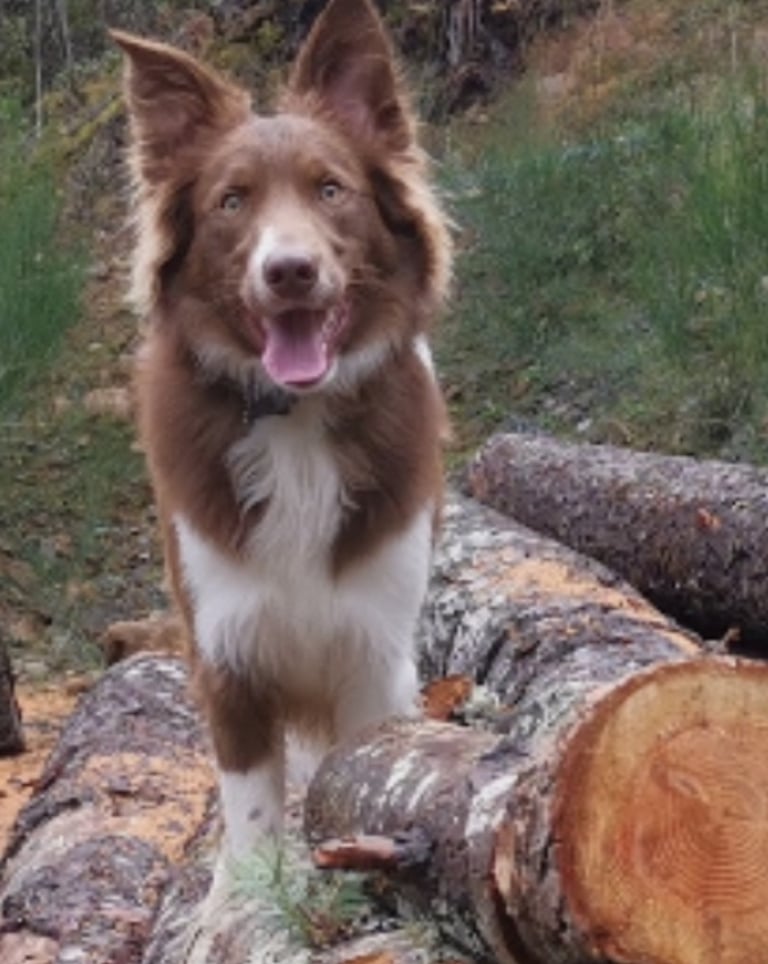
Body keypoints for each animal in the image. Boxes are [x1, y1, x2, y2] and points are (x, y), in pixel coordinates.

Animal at [114, 0, 451, 863]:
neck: (294, 420)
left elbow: (360, 782)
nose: (290, 270)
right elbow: (253, 830)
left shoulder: (376, 656)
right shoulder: (225, 656)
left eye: (331, 189)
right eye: (232, 202)